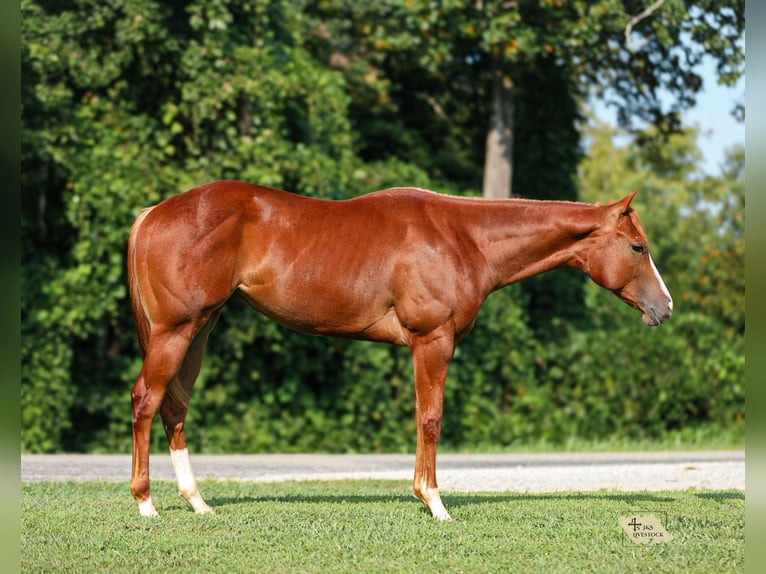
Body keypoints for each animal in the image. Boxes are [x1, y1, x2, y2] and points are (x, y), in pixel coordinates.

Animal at [127, 180, 672, 521]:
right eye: (638, 247)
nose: (664, 307)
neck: (463, 238)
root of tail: (153, 213)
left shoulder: (422, 346)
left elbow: (419, 416)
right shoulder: (432, 340)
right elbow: (431, 418)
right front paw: (436, 503)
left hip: (200, 329)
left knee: (175, 407)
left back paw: (197, 503)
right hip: (176, 330)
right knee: (146, 401)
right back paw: (146, 504)